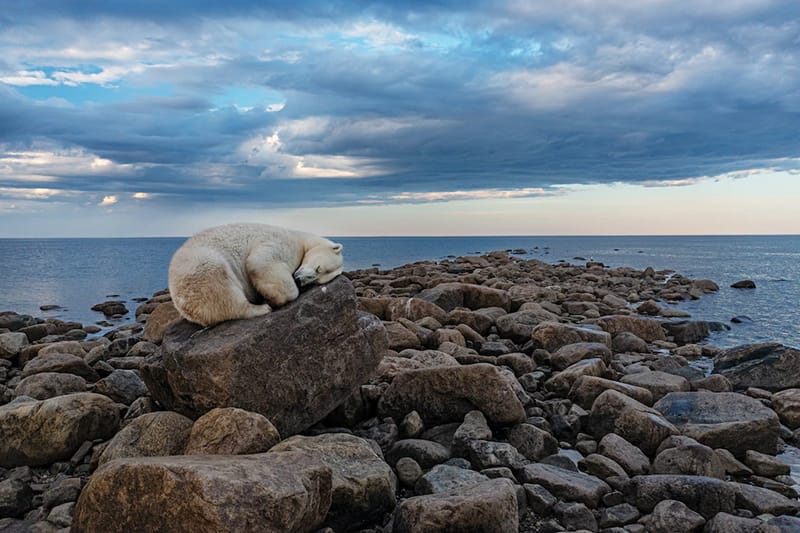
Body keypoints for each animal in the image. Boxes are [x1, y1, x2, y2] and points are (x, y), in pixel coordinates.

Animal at [167, 222, 342, 326]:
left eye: (318, 281)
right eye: (319, 268)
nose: (299, 280)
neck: (300, 237)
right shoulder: (282, 243)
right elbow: (259, 262)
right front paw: (274, 298)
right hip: (201, 266)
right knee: (224, 292)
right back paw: (262, 308)